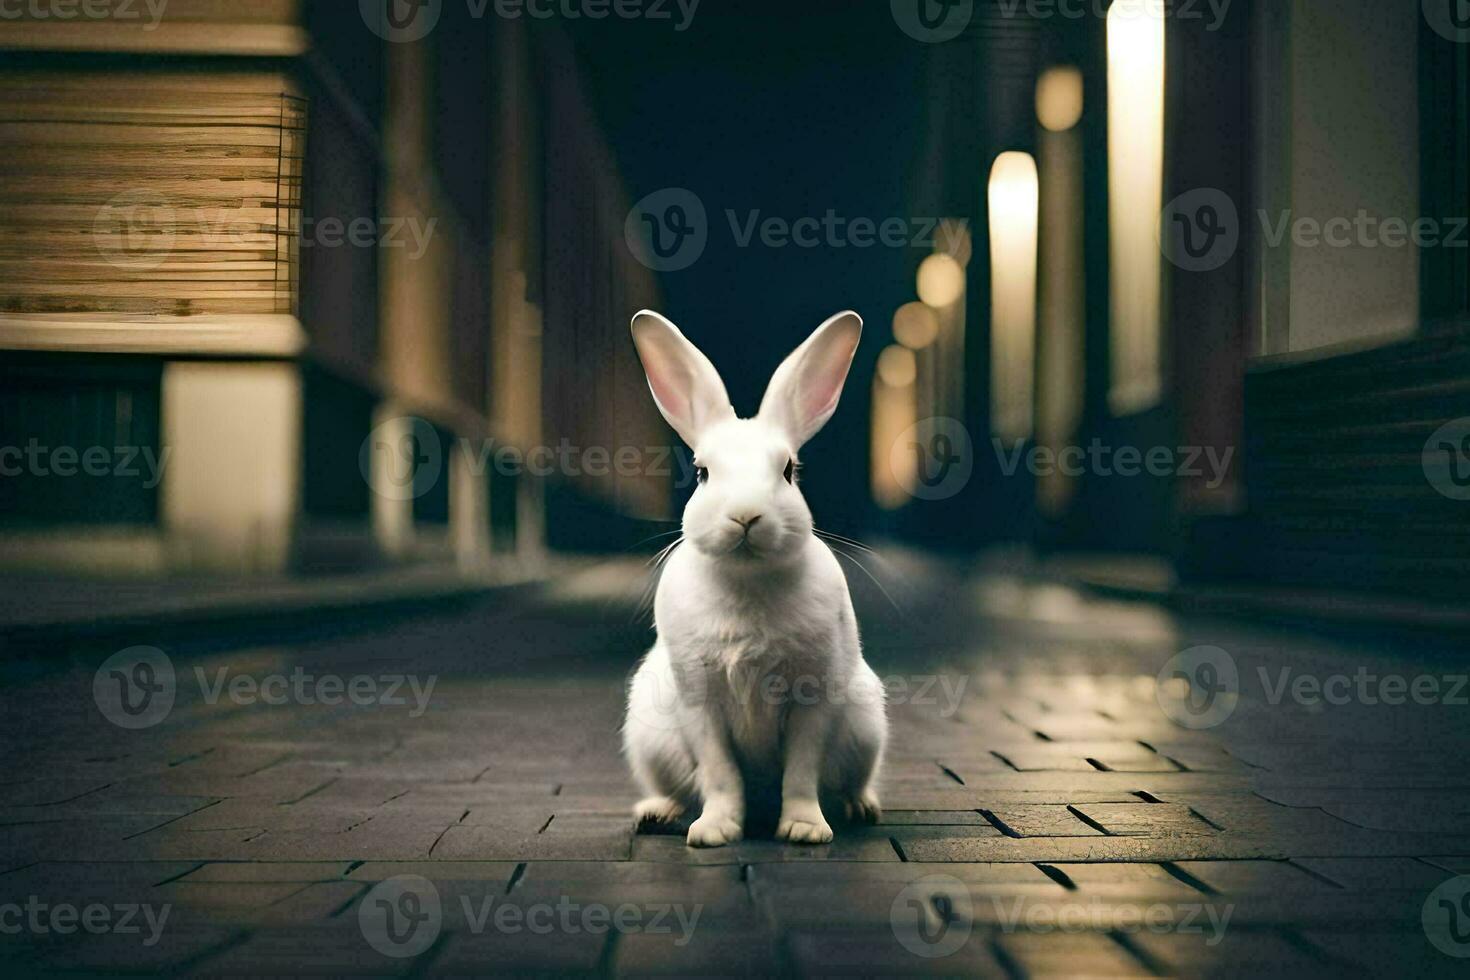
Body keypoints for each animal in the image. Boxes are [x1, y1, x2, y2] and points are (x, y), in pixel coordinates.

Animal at [620, 310, 882, 846]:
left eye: (788, 471)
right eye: (701, 473)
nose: (745, 515)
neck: (747, 579)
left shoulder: (813, 698)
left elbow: (801, 770)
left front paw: (804, 830)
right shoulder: (700, 701)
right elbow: (720, 772)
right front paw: (714, 831)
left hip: (867, 725)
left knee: (851, 780)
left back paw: (860, 807)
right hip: (651, 740)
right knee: (677, 788)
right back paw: (656, 814)